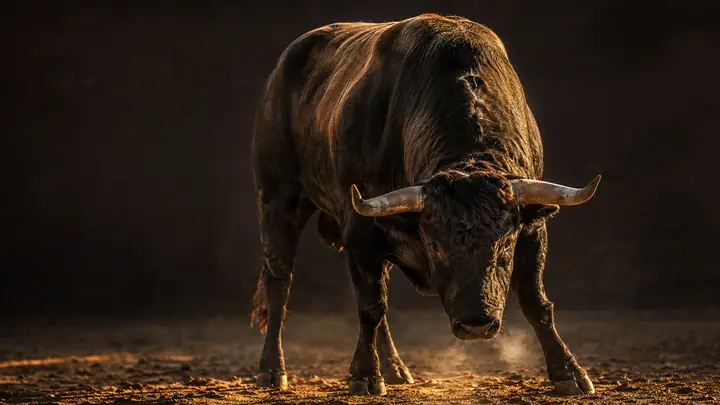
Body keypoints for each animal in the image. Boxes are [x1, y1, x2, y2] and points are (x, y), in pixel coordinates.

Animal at [249, 13, 600, 397]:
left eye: (506, 243)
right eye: (435, 245)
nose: (476, 325)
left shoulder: (533, 230)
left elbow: (537, 303)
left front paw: (569, 373)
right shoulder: (361, 230)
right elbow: (370, 306)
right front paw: (364, 375)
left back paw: (395, 369)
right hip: (279, 199)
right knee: (280, 284)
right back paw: (272, 370)